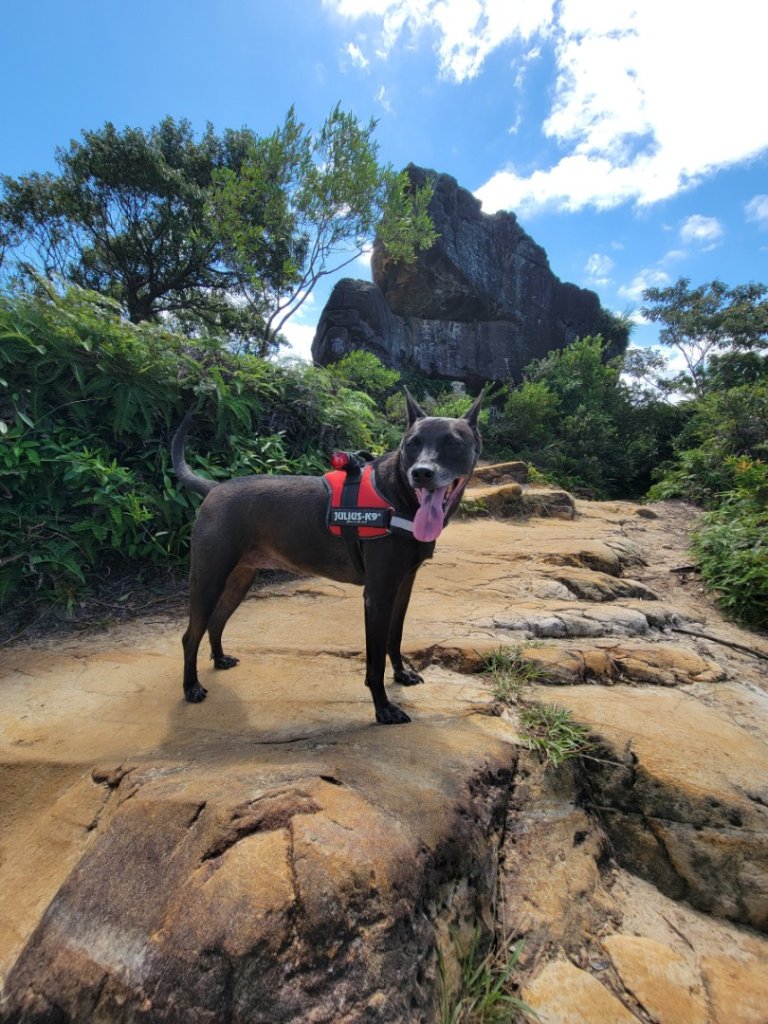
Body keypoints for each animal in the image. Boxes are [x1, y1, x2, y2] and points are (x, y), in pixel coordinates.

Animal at [174, 387, 483, 724]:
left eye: (453, 443)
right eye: (411, 444)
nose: (422, 473)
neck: (399, 497)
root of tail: (214, 488)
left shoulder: (403, 586)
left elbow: (395, 637)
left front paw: (402, 674)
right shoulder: (377, 596)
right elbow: (375, 662)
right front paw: (383, 707)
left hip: (240, 579)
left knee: (216, 621)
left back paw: (219, 659)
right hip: (208, 579)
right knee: (190, 636)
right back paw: (191, 687)